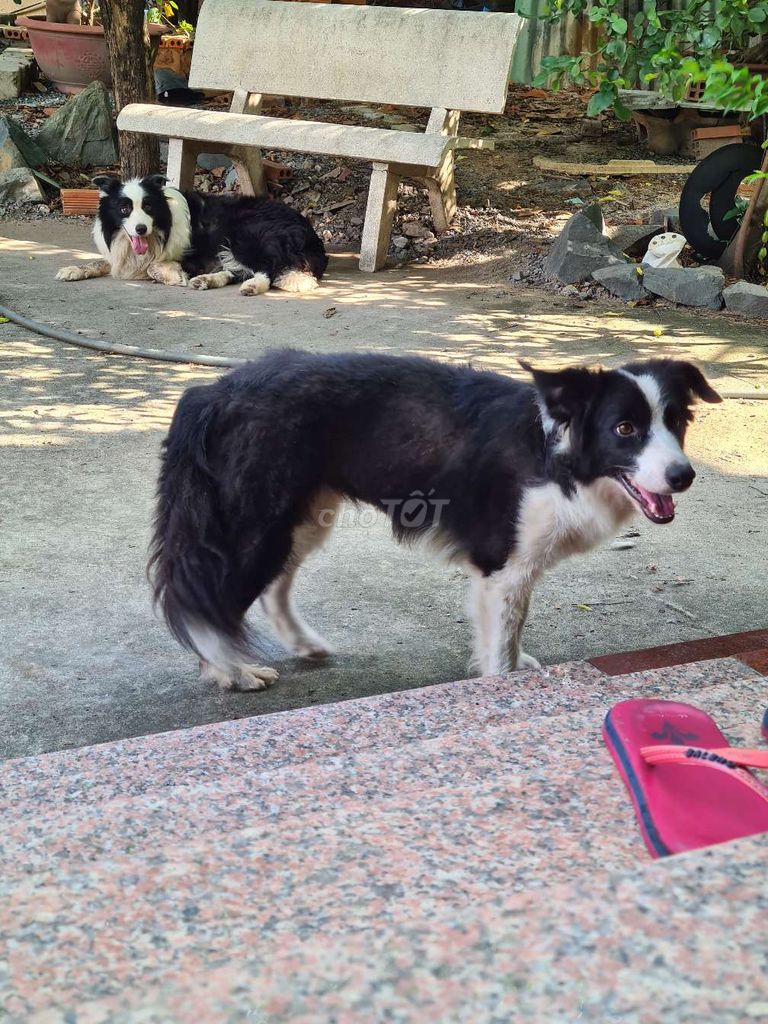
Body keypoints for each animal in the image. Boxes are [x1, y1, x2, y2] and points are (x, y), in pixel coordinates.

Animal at [56, 175, 327, 296]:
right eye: (124, 209)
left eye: (148, 207)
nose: (141, 229)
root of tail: (310, 232)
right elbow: (100, 262)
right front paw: (73, 270)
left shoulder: (195, 257)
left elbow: (154, 266)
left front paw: (171, 276)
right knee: (237, 270)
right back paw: (208, 280)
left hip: (245, 232)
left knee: (266, 268)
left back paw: (252, 286)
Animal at [150, 348, 720, 692]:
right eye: (624, 429)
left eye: (676, 422)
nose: (684, 476)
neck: (556, 453)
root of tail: (211, 392)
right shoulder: (502, 564)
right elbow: (501, 642)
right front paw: (503, 682)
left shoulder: (508, 572)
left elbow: (509, 630)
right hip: (253, 528)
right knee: (201, 598)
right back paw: (230, 671)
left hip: (303, 518)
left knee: (271, 588)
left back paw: (300, 645)